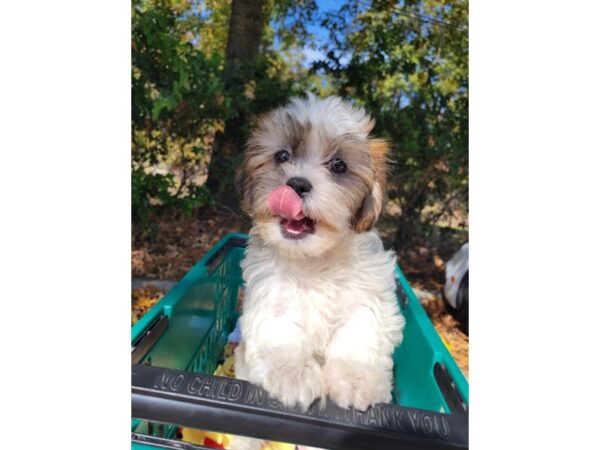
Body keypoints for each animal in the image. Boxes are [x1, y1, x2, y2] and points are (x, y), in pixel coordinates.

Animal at [232, 93, 406, 448]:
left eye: (339, 166)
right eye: (282, 156)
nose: (297, 184)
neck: (315, 260)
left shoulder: (370, 297)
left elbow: (361, 331)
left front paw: (355, 379)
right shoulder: (270, 296)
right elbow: (281, 333)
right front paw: (293, 375)